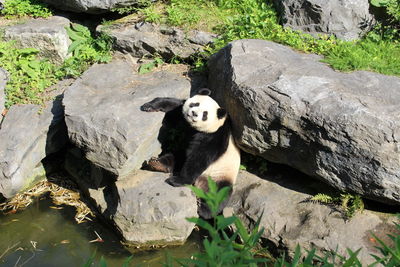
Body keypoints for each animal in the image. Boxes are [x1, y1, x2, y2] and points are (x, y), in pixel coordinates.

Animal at [141, 88, 241, 220]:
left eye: (205, 114)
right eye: (195, 104)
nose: (193, 113)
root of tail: (199, 184)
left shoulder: (215, 136)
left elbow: (199, 158)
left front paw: (178, 180)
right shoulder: (183, 117)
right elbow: (174, 106)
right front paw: (149, 106)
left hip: (220, 175)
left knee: (220, 193)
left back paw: (205, 210)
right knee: (175, 156)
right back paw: (158, 164)